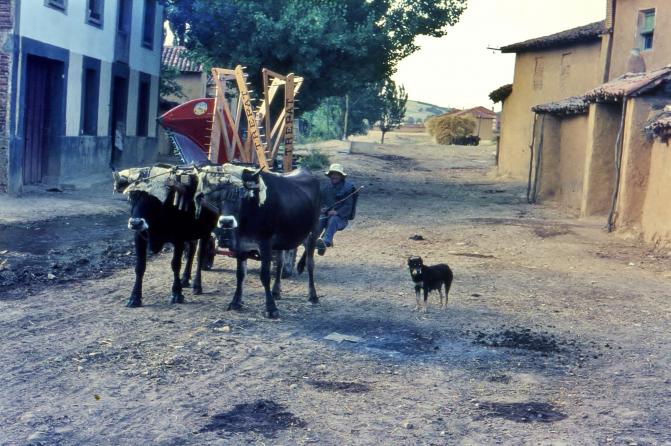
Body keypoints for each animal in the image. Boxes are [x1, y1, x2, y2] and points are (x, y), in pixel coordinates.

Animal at [114, 167, 219, 307]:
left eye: (156, 199)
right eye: (132, 197)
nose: (135, 223)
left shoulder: (179, 240)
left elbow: (175, 265)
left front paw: (176, 294)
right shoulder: (139, 238)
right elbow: (140, 267)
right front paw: (134, 298)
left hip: (205, 234)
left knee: (200, 256)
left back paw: (197, 285)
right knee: (191, 251)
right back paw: (185, 279)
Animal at [195, 164, 321, 319]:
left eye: (240, 195)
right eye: (214, 198)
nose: (226, 222)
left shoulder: (265, 243)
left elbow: (265, 275)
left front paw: (271, 308)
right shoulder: (241, 246)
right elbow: (240, 275)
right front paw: (236, 302)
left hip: (313, 233)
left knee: (310, 264)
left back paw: (313, 295)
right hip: (282, 240)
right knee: (280, 263)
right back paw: (276, 291)